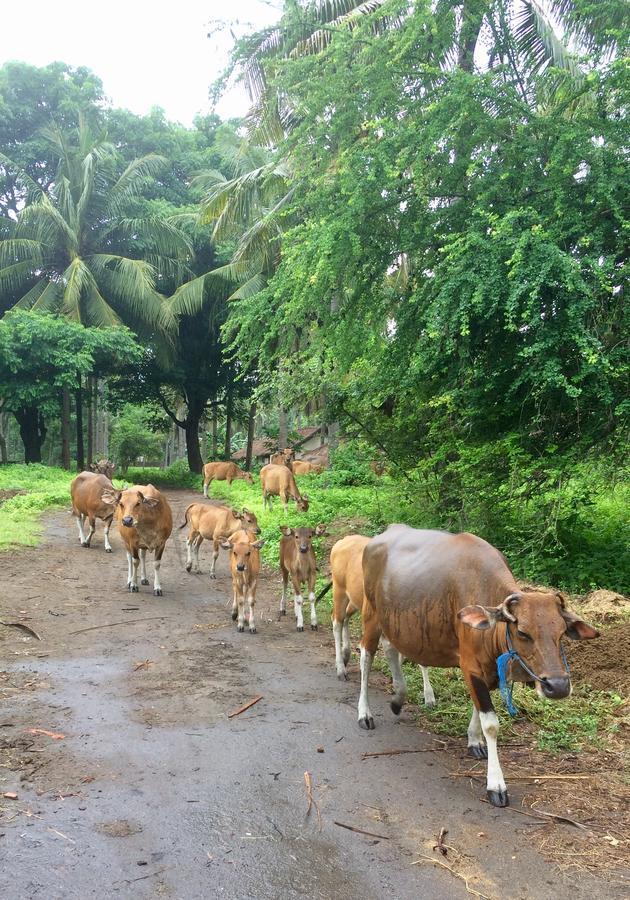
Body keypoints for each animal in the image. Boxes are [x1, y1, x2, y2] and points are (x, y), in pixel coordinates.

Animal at [358, 524, 600, 804]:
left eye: (561, 633)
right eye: (523, 633)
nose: (558, 686)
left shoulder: (488, 669)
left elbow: (478, 708)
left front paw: (474, 741)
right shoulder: (470, 665)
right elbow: (491, 724)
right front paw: (496, 783)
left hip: (394, 622)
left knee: (390, 649)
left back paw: (398, 698)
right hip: (370, 614)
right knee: (366, 656)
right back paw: (364, 713)